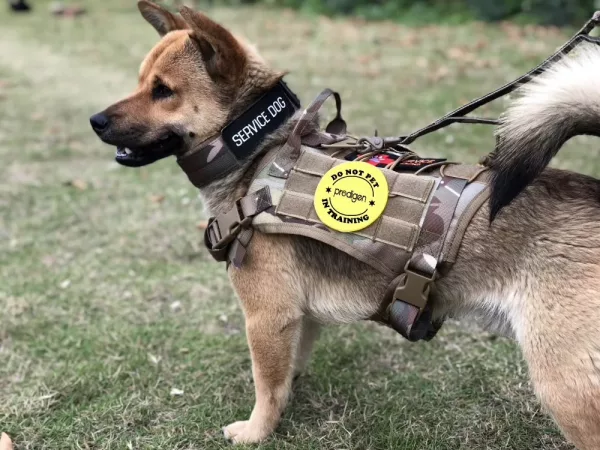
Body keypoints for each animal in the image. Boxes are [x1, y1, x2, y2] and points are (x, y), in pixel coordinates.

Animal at [90, 1, 600, 448]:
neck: (258, 156)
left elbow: (266, 384)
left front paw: (257, 431)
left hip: (566, 388)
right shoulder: (298, 316)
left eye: (163, 90)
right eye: (142, 82)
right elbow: (285, 372)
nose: (95, 120)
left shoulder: (267, 315)